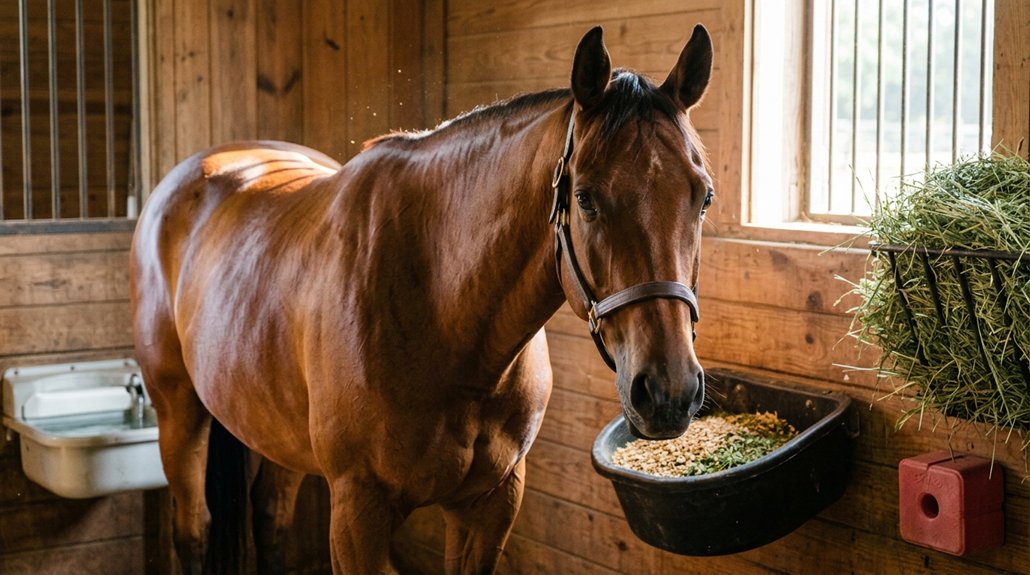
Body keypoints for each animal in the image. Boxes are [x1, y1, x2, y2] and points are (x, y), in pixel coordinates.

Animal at [130, 24, 714, 574]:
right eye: (585, 198)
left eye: (703, 196)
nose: (669, 391)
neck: (442, 312)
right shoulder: (357, 513)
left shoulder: (491, 503)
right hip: (178, 414)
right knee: (193, 531)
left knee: (270, 520)